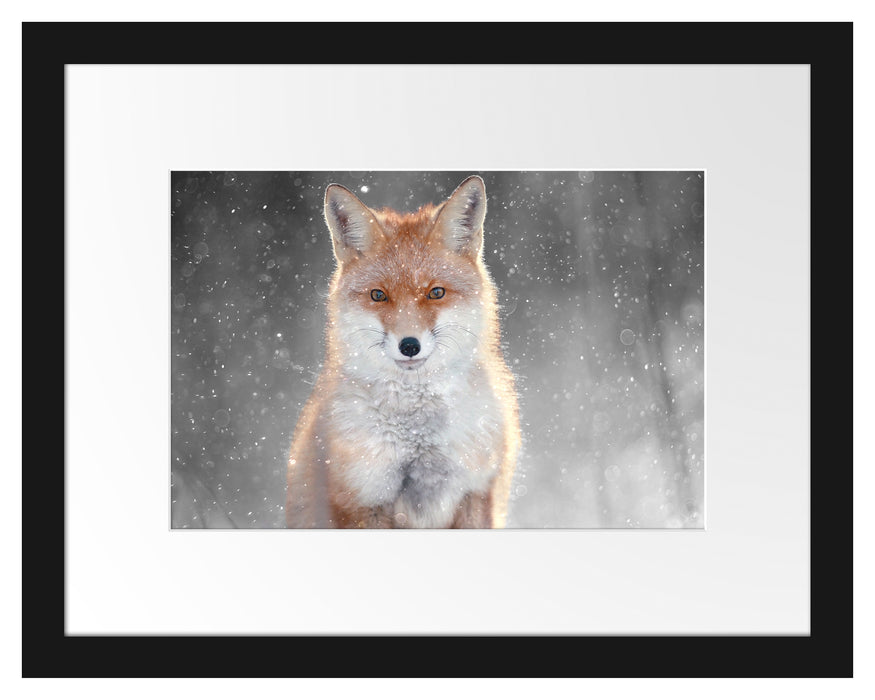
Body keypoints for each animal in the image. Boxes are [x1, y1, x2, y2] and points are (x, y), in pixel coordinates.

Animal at [285, 175, 520, 528]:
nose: (409, 345)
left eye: (435, 292)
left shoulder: (476, 492)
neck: (418, 436)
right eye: (378, 295)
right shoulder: (361, 498)